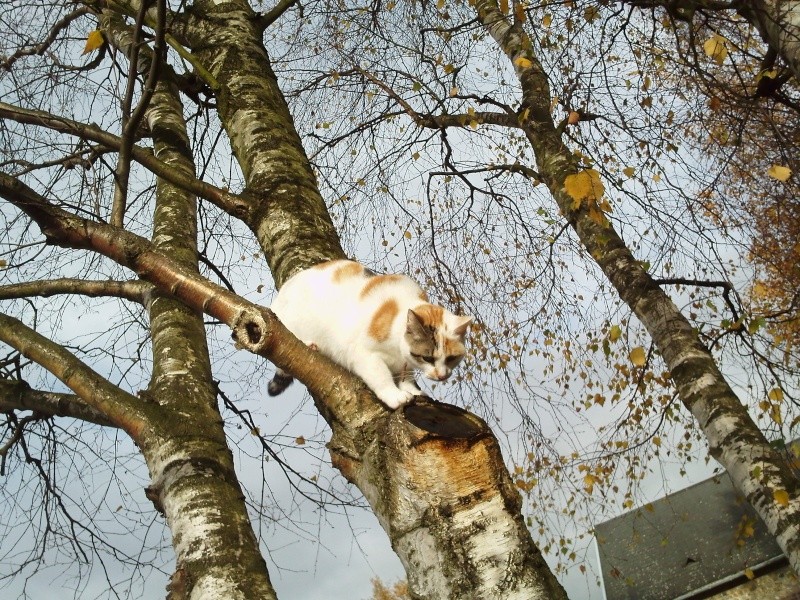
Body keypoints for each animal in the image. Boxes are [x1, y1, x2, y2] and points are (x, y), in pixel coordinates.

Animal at [268, 258, 472, 408]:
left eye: (451, 358)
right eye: (428, 358)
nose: (441, 376)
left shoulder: (405, 362)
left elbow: (406, 375)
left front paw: (412, 390)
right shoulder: (362, 354)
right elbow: (380, 375)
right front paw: (395, 395)